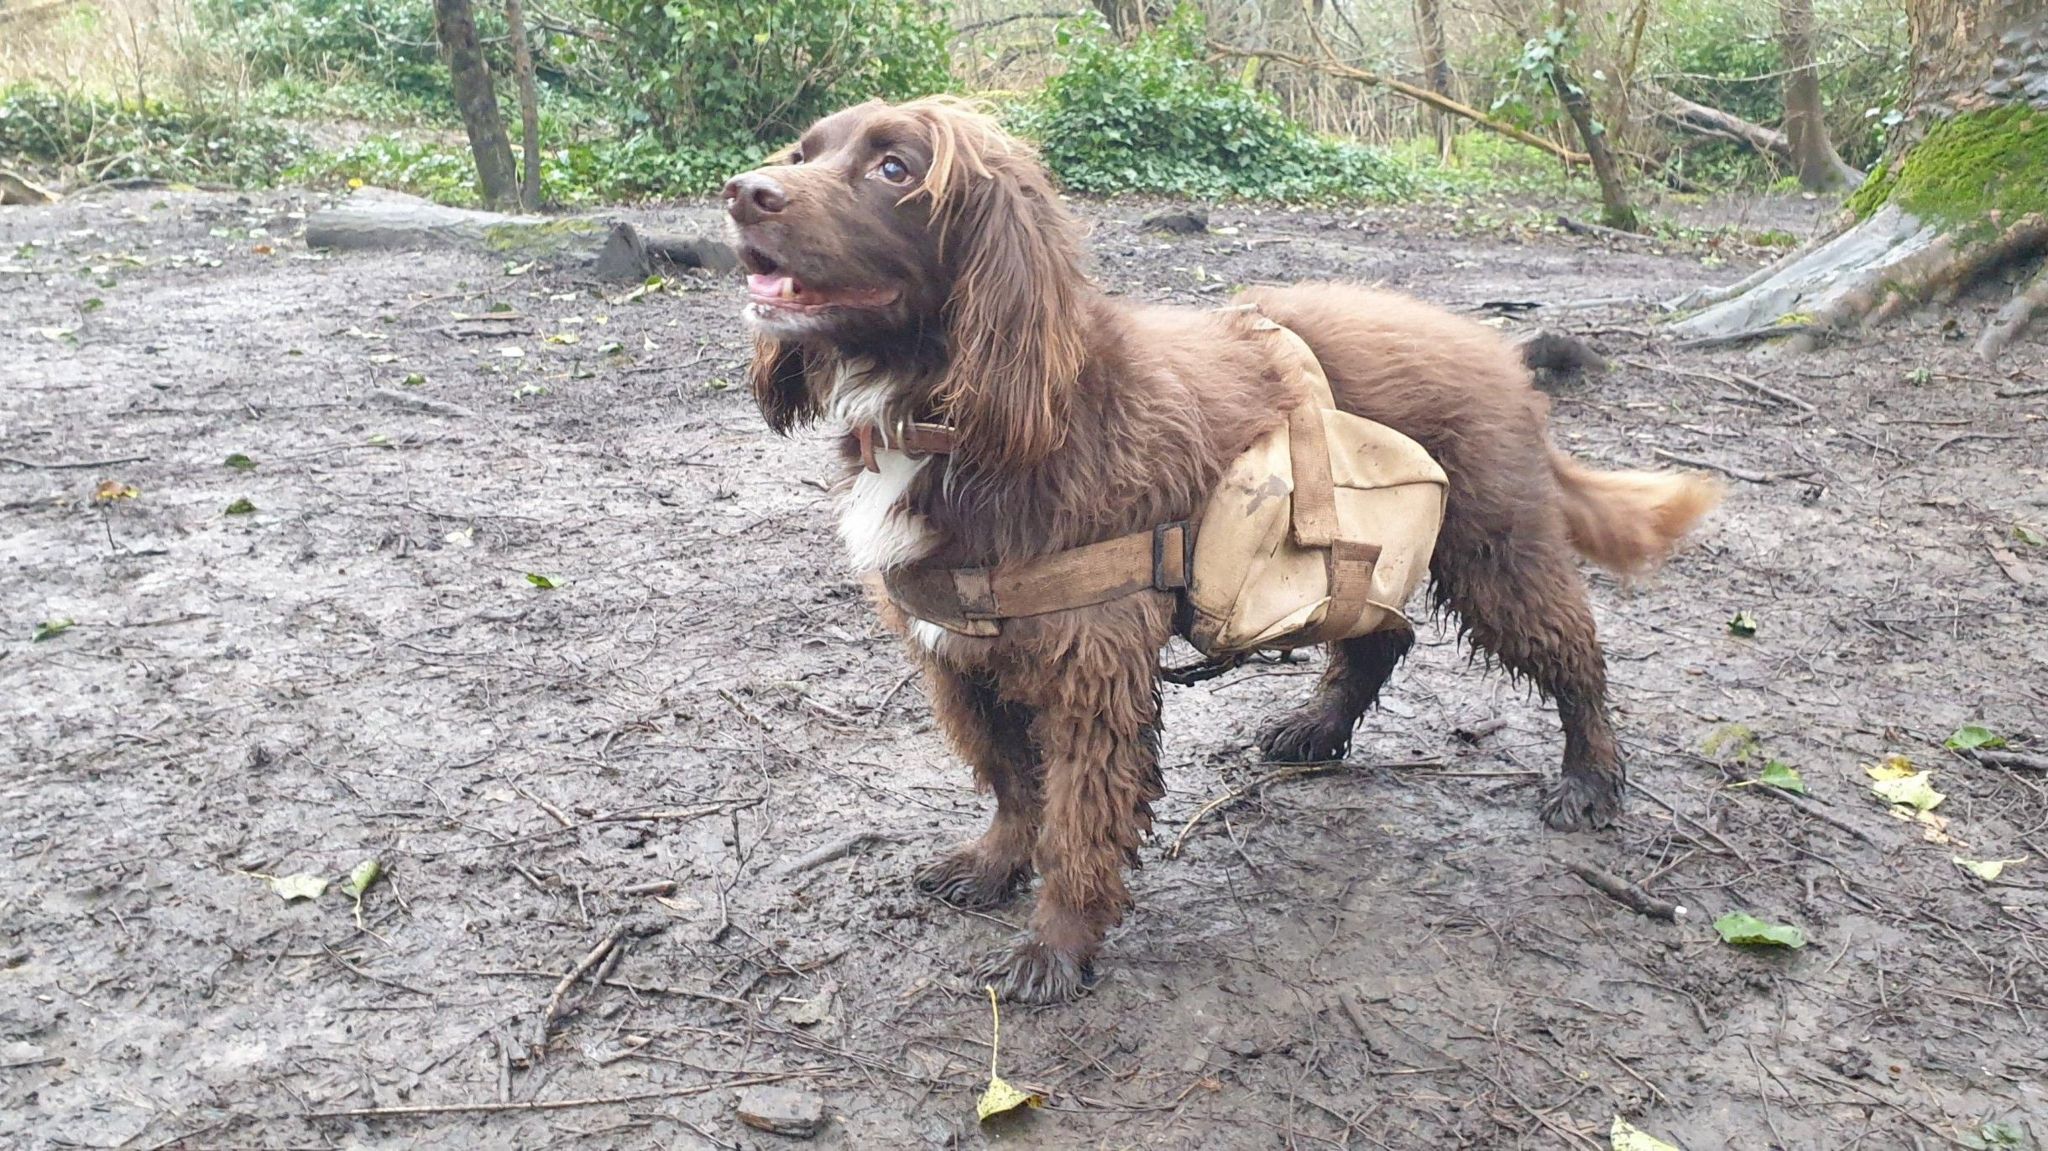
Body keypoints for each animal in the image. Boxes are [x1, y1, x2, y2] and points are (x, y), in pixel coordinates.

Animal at [729, 96, 1720, 995]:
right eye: (803, 151)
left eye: (894, 167)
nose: (743, 193)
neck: (958, 419)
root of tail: (1499, 352)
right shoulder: (959, 648)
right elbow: (1014, 784)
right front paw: (993, 863)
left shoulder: (1091, 661)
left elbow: (1078, 816)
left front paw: (1058, 945)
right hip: (1364, 547)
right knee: (1380, 633)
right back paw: (1316, 727)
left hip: (1495, 550)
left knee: (1575, 654)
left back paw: (1589, 779)